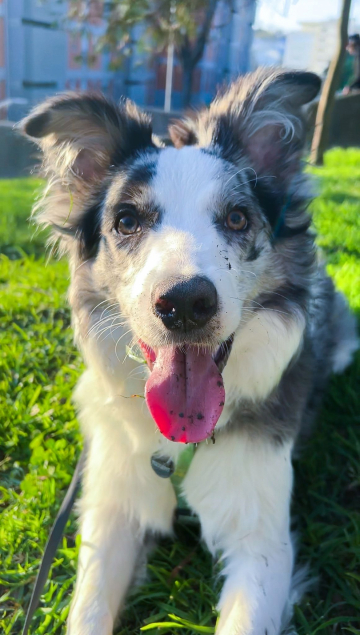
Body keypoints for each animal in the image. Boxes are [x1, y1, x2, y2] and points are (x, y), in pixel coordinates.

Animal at [21, 67, 358, 632]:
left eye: (238, 218)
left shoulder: (263, 540)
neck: (182, 442)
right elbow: (87, 609)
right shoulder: (113, 506)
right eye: (127, 221)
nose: (183, 304)